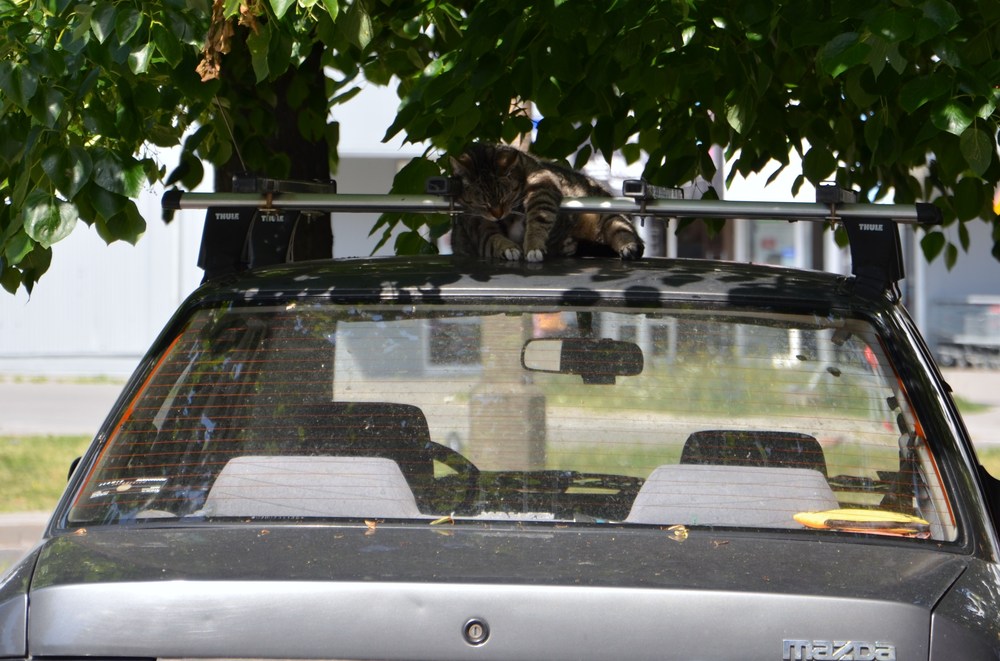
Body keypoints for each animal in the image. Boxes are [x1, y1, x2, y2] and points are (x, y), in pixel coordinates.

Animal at [450, 143, 644, 262]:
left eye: (505, 198)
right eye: (483, 204)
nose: (497, 215)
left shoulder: (543, 181)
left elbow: (539, 217)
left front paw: (533, 245)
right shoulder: (475, 221)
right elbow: (490, 237)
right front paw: (506, 247)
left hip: (608, 214)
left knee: (623, 231)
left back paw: (628, 246)